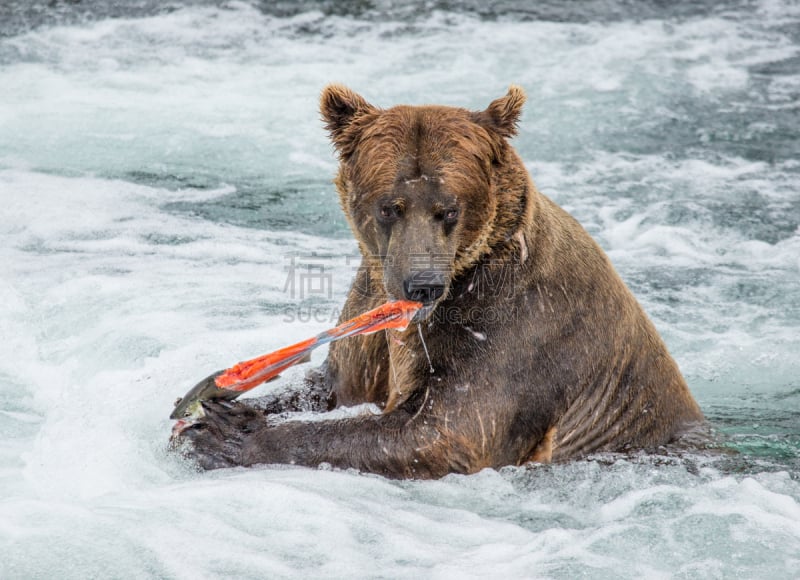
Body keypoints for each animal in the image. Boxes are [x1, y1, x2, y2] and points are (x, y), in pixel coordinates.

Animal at [175, 84, 708, 478]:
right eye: (390, 206)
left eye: (448, 208)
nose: (423, 285)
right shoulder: (370, 311)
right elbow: (335, 383)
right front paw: (209, 407)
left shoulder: (518, 329)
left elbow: (443, 430)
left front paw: (228, 434)